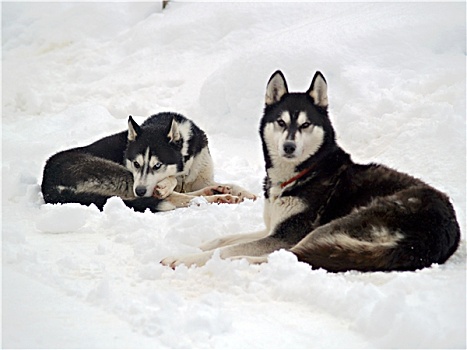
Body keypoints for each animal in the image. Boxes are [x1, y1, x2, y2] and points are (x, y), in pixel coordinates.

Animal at [42, 112, 256, 212]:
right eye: (136, 164)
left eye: (157, 165)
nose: (140, 191)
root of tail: (48, 184)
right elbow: (170, 186)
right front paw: (166, 184)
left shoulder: (201, 176)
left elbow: (232, 184)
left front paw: (246, 193)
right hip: (118, 174)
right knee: (175, 199)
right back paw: (218, 198)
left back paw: (216, 191)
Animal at [163, 71, 462, 272]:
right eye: (281, 122)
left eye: (306, 125)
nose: (289, 146)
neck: (304, 173)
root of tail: (436, 235)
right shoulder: (273, 229)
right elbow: (223, 238)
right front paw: (199, 246)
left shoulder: (285, 235)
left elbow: (227, 248)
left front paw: (187, 257)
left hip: (335, 226)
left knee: (293, 256)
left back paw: (240, 261)